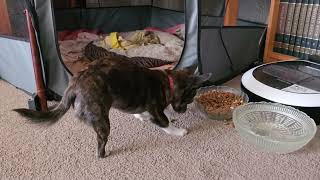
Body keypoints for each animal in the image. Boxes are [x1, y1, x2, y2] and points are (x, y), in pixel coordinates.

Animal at [13, 58, 212, 158]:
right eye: (190, 98)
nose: (184, 111)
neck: (169, 82)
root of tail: (74, 85)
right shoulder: (157, 112)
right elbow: (165, 122)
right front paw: (179, 131)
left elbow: (141, 113)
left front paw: (141, 117)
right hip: (102, 120)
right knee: (100, 145)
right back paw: (104, 154)